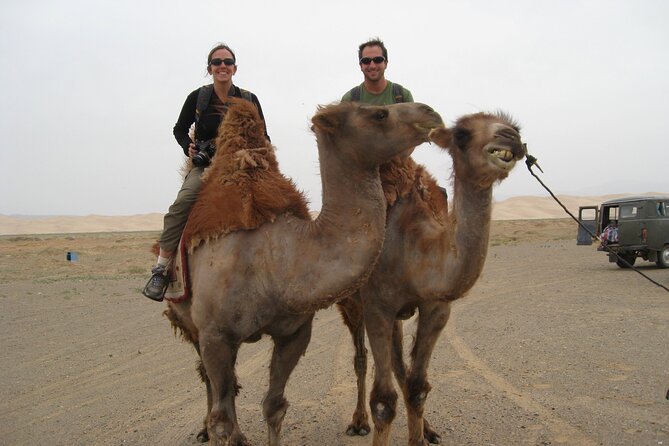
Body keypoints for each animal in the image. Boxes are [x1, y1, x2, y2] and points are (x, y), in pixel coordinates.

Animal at [162, 98, 444, 446]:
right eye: (379, 113)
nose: (431, 112)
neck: (276, 261)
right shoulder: (215, 335)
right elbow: (221, 420)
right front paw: (216, 429)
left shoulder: (294, 332)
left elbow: (274, 406)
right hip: (190, 324)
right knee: (209, 384)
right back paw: (208, 428)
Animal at [336, 110, 524, 444]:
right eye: (461, 134)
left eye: (515, 127)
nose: (509, 137)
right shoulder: (377, 307)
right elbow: (383, 401)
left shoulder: (436, 307)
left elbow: (417, 386)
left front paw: (421, 434)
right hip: (351, 304)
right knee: (361, 359)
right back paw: (358, 422)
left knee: (401, 367)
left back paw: (429, 429)